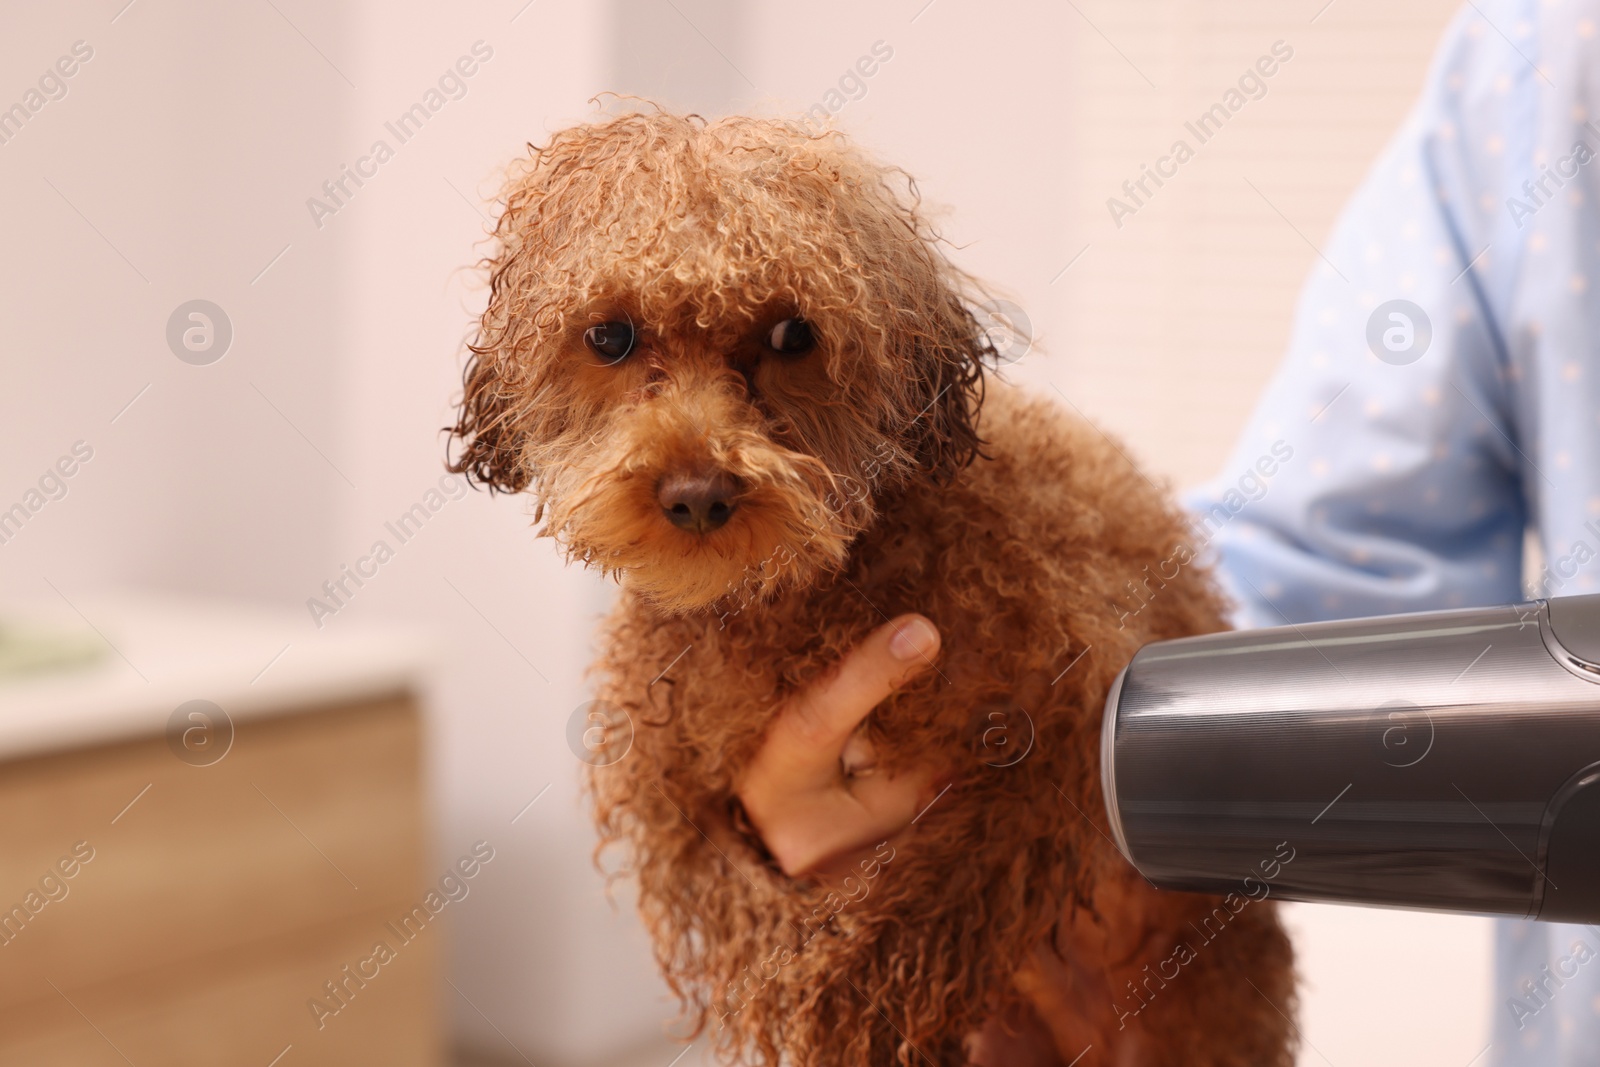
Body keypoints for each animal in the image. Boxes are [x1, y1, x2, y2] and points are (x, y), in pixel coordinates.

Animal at [444, 108, 1292, 1067]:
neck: (797, 603)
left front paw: (849, 1013)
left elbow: (914, 915)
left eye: (793, 334)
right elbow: (746, 919)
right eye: (611, 337)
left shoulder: (1066, 740)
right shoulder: (671, 798)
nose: (696, 494)